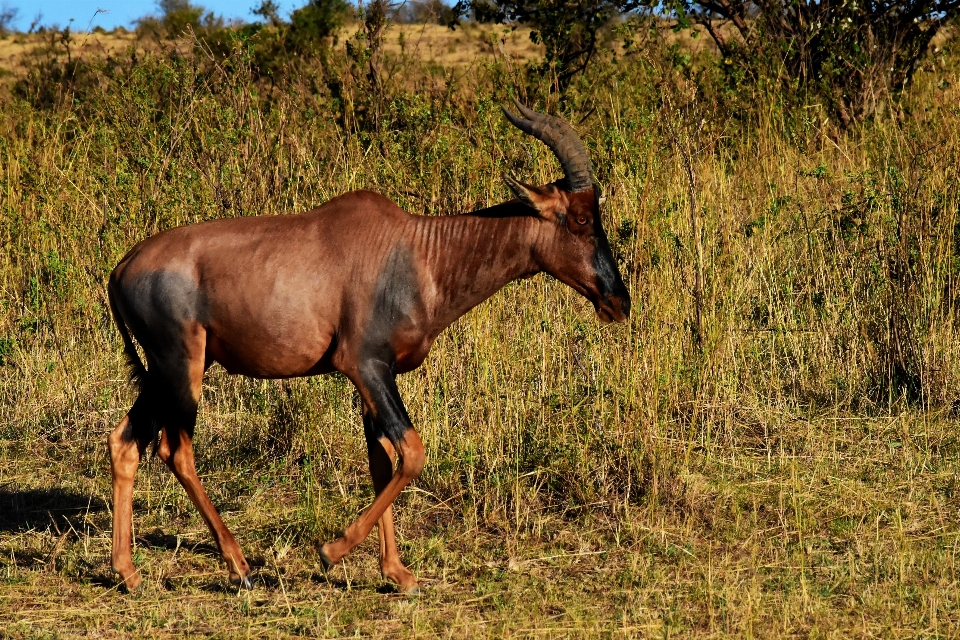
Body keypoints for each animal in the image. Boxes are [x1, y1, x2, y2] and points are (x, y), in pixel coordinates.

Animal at [107, 101, 632, 596]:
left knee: (125, 440)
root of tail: (122, 266)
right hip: (183, 364)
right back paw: (239, 567)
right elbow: (413, 452)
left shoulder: (377, 378)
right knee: (175, 448)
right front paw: (330, 551)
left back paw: (128, 573)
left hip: (161, 370)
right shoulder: (364, 366)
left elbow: (382, 461)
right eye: (580, 218)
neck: (418, 251)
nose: (619, 302)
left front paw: (397, 573)